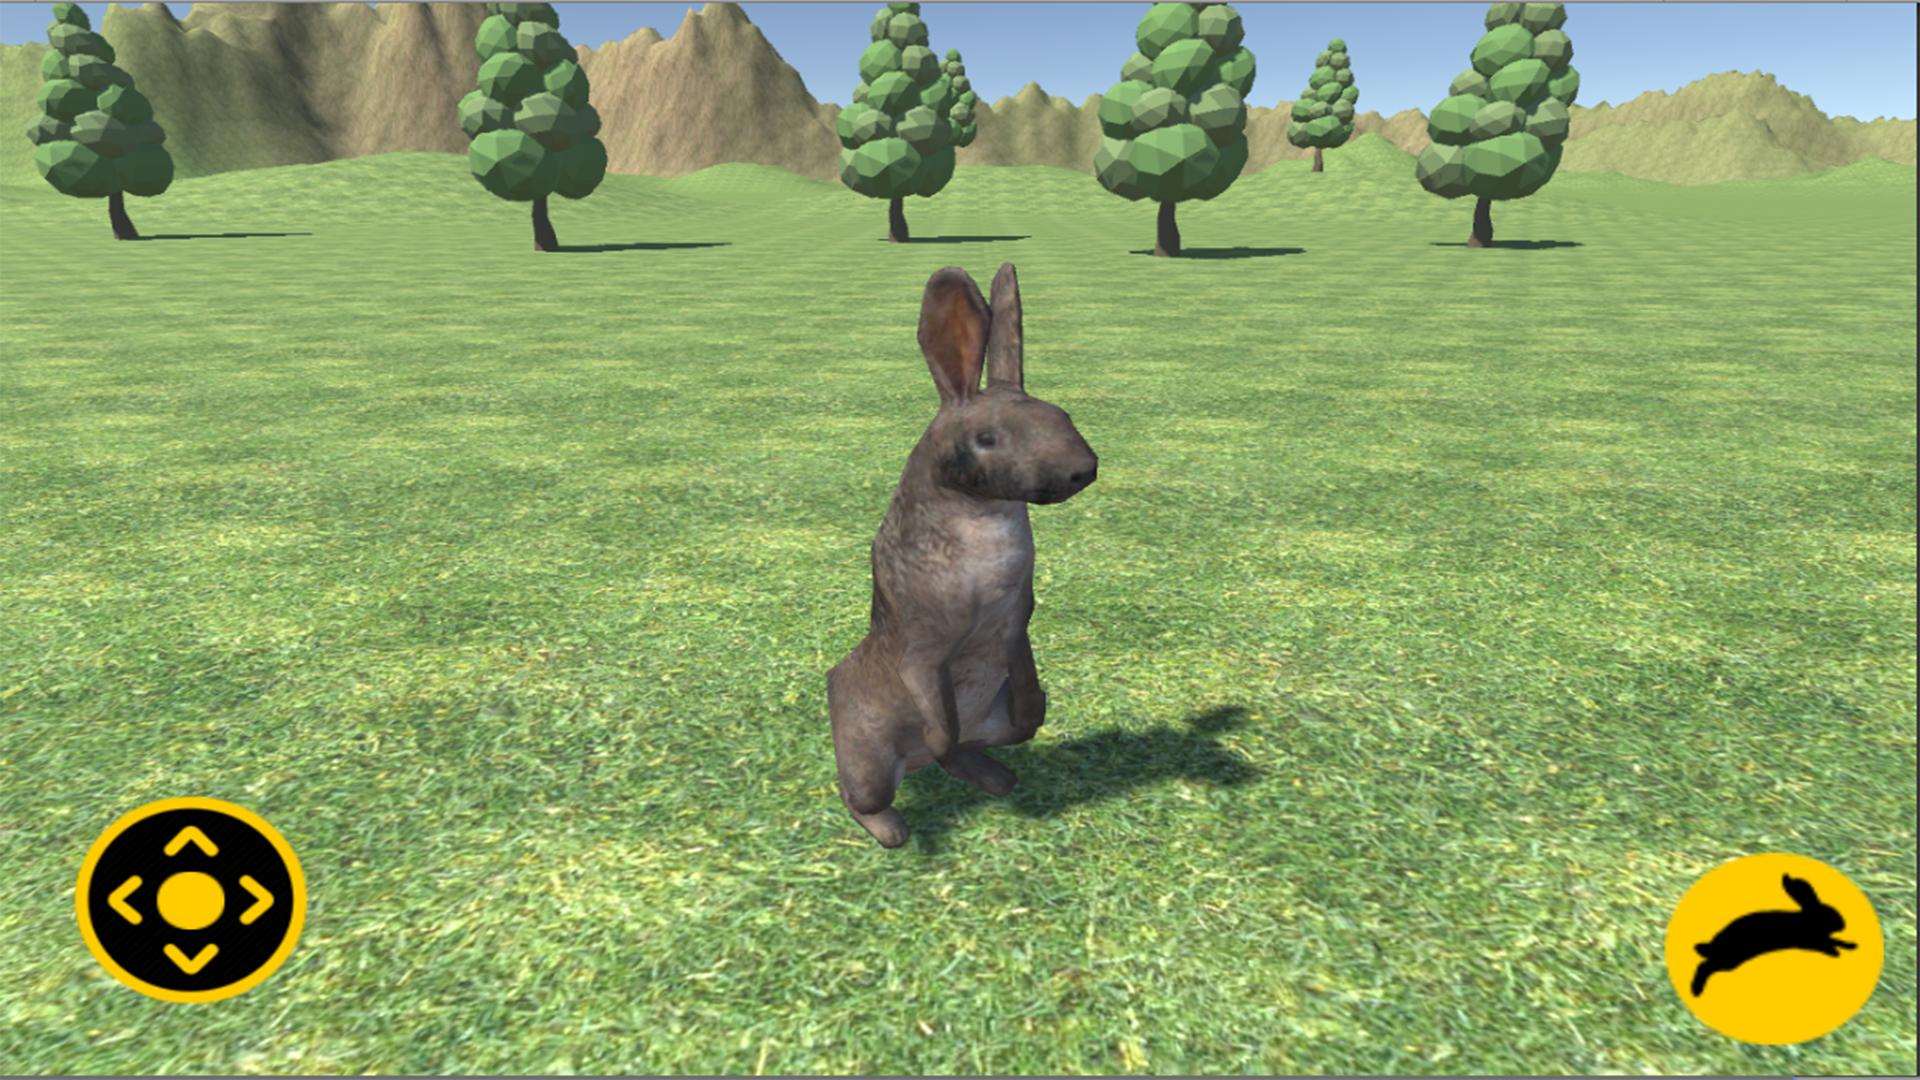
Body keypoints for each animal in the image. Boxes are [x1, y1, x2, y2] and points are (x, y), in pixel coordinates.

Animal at [826, 263, 1098, 849]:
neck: (984, 516)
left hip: (989, 721)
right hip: (870, 760)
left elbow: (1028, 696)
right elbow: (938, 711)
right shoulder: (925, 652)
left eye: (1062, 413)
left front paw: (1033, 714)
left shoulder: (1016, 625)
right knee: (866, 793)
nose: (1082, 470)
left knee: (978, 746)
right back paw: (893, 830)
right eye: (988, 438)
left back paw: (997, 778)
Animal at [1690, 873, 1857, 997]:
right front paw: (1835, 953)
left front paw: (1852, 946)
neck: (1809, 920)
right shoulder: (1810, 941)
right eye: (1828, 914)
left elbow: (1836, 941)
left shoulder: (1821, 938)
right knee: (1705, 966)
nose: (1843, 924)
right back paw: (1696, 990)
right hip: (1730, 960)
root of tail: (1712, 946)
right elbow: (1826, 945)